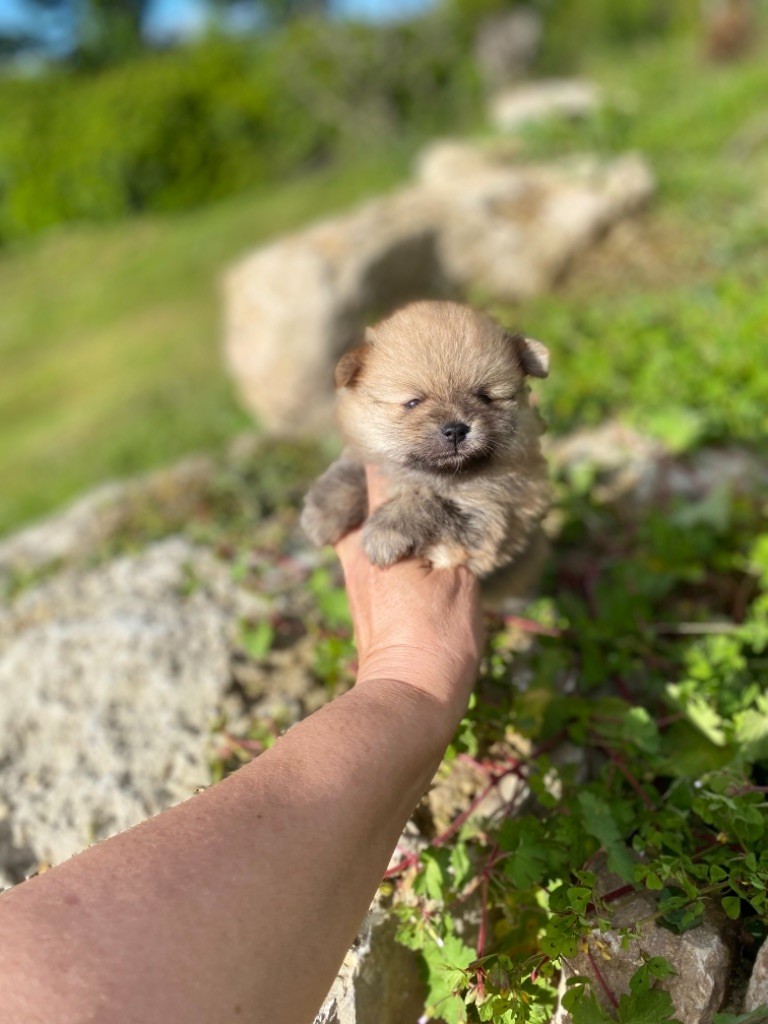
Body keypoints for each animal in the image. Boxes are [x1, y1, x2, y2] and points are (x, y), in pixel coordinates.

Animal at [301, 301, 550, 599]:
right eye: (413, 403)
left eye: (485, 397)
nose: (455, 429)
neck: (437, 474)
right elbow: (352, 467)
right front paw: (323, 511)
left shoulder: (490, 513)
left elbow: (429, 504)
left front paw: (385, 533)